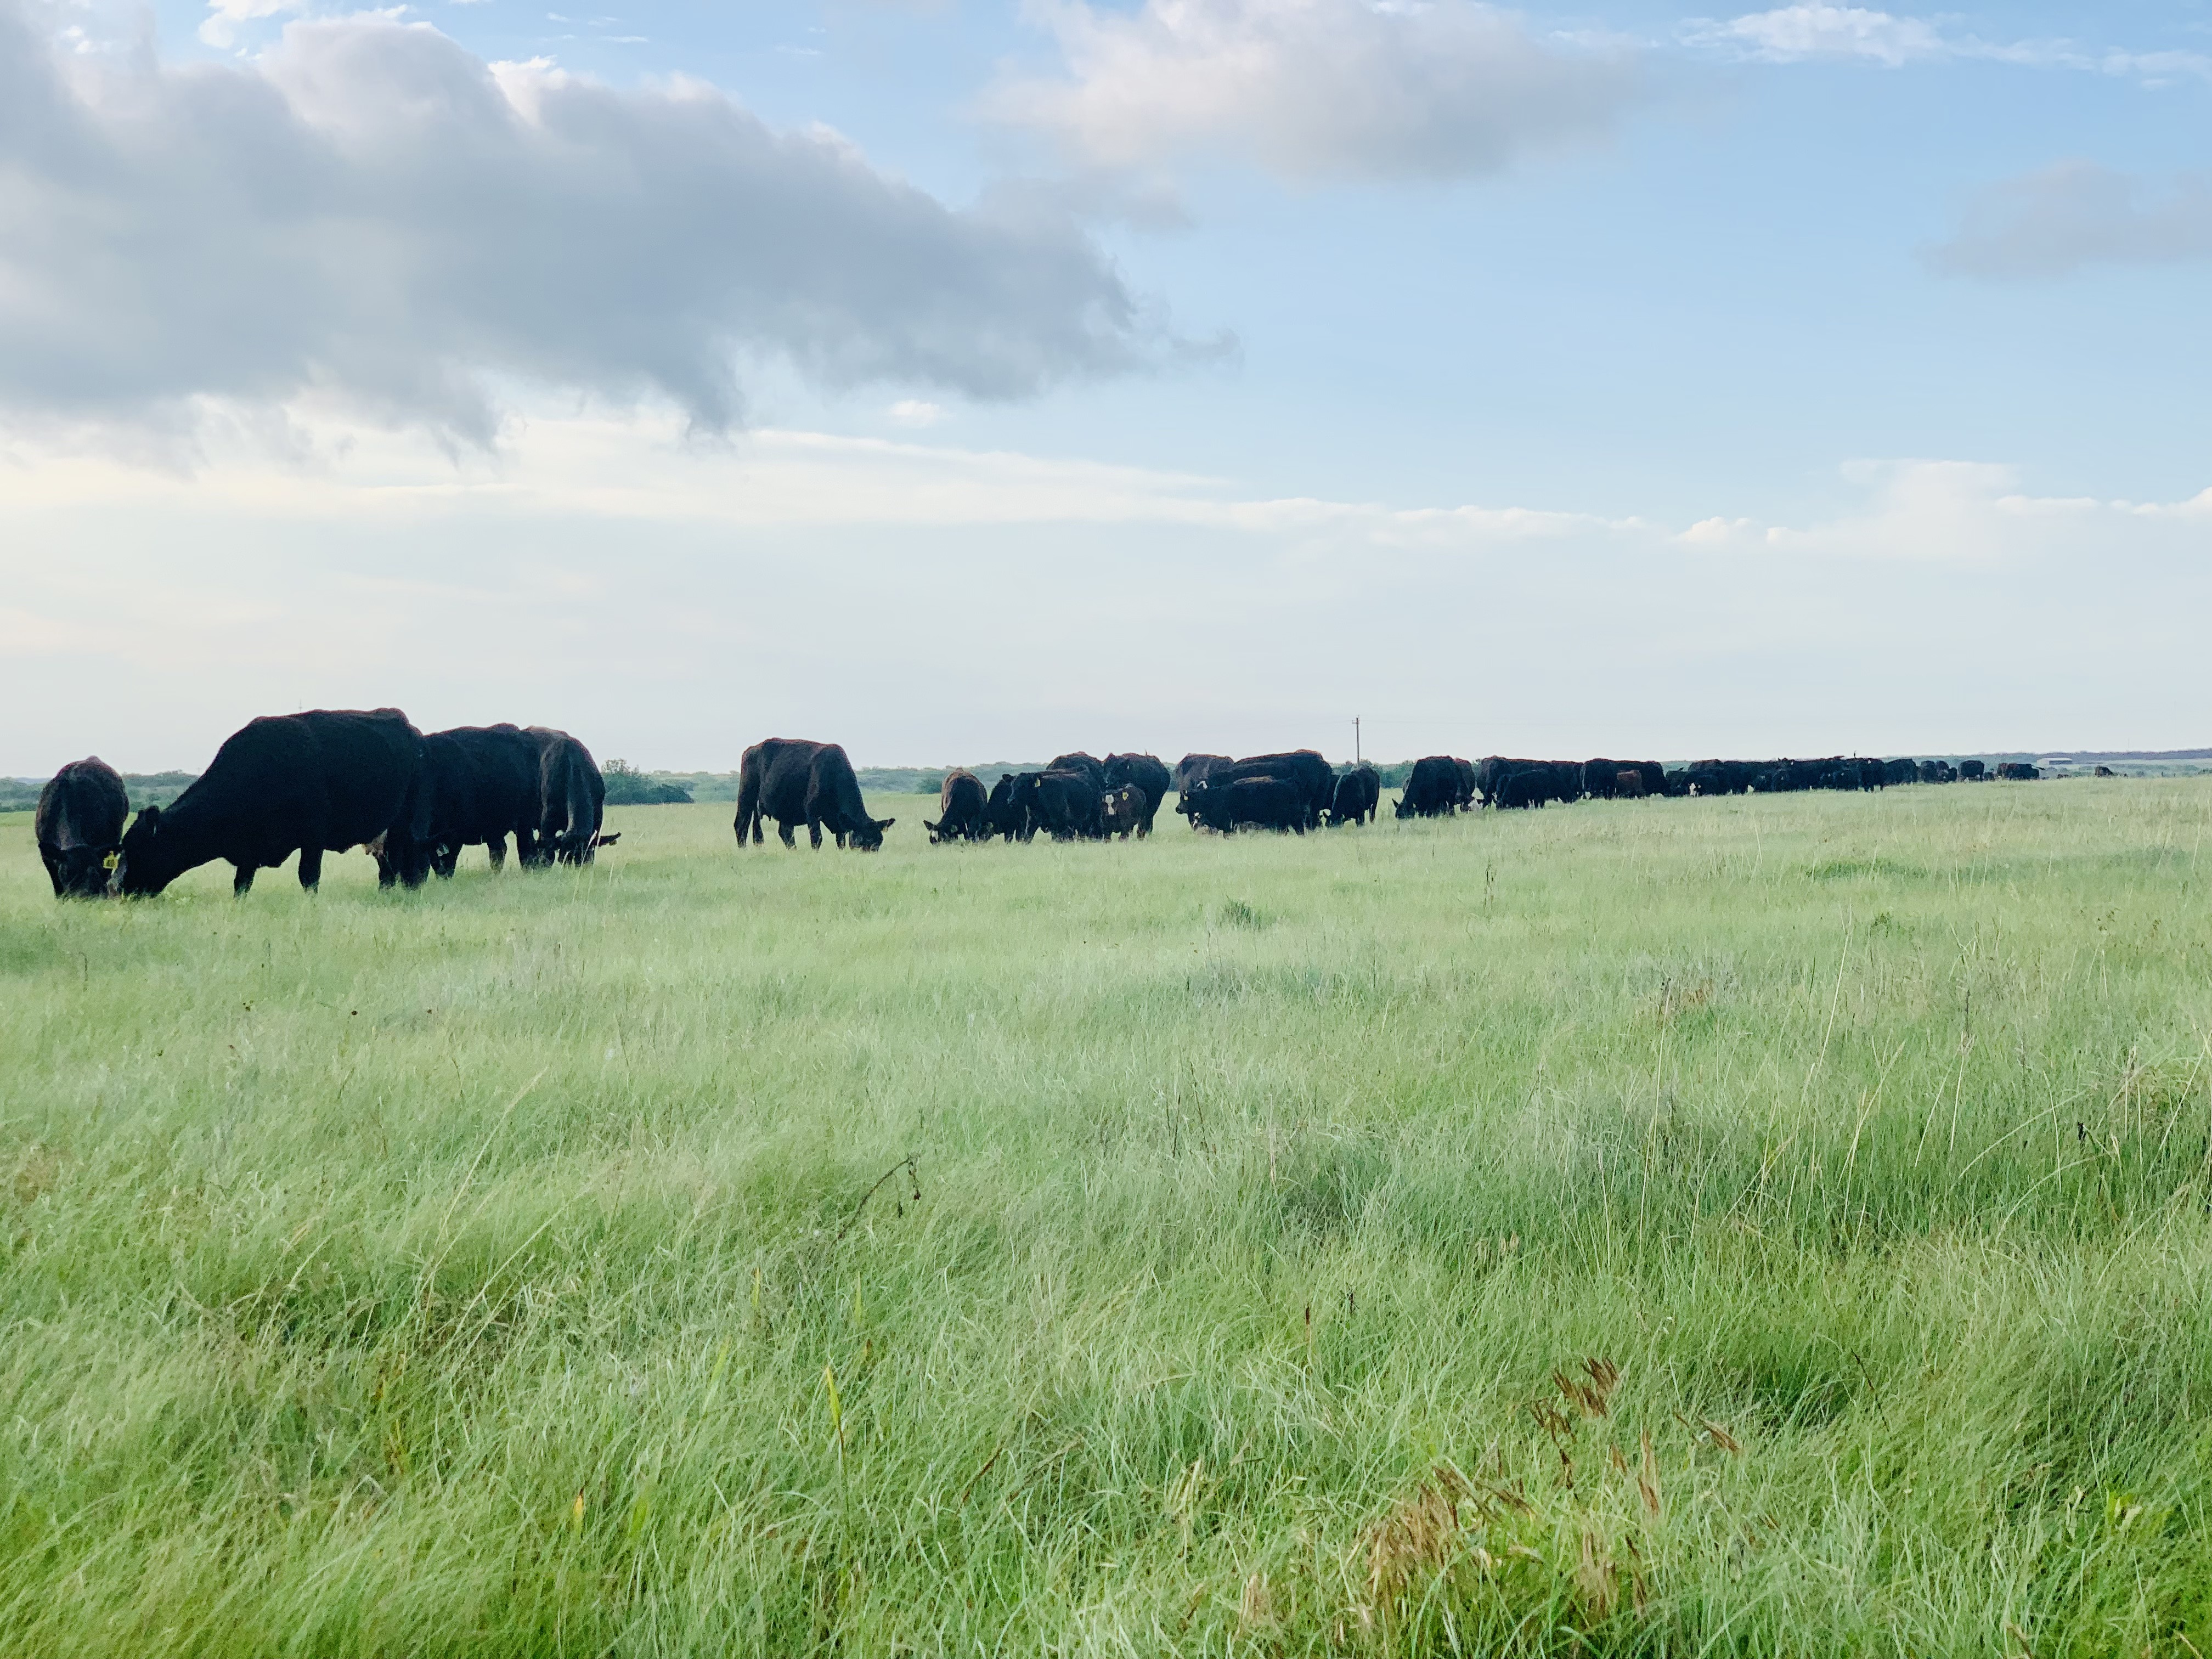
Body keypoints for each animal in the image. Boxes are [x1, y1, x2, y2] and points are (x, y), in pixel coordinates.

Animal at [114, 712, 433, 902]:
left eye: (139, 849)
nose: (119, 889)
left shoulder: (313, 837)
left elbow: (309, 877)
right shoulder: (248, 850)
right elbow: (241, 884)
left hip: (406, 821)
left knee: (409, 860)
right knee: (389, 867)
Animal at [734, 738, 889, 849]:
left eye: (879, 843)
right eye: (864, 840)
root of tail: (751, 749)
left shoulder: (839, 821)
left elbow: (841, 841)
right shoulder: (812, 813)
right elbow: (817, 839)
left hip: (782, 808)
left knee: (783, 833)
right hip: (746, 797)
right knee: (741, 824)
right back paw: (743, 850)